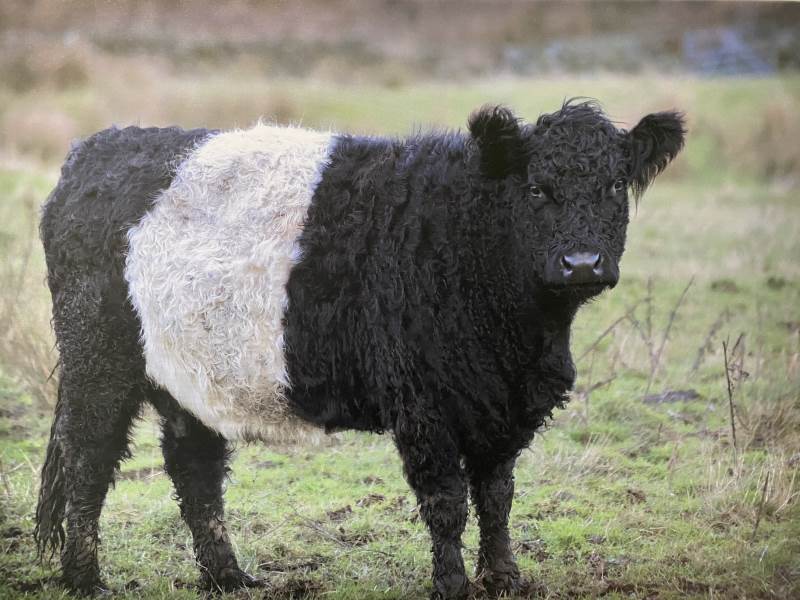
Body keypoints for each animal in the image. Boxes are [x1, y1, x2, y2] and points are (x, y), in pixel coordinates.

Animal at [34, 100, 684, 598]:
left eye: (613, 186)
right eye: (536, 188)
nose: (582, 263)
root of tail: (93, 150)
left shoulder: (500, 405)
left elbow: (497, 497)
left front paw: (504, 580)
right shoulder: (425, 405)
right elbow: (447, 502)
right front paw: (452, 586)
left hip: (190, 374)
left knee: (193, 467)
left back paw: (229, 577)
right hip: (99, 358)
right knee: (89, 457)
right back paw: (86, 580)